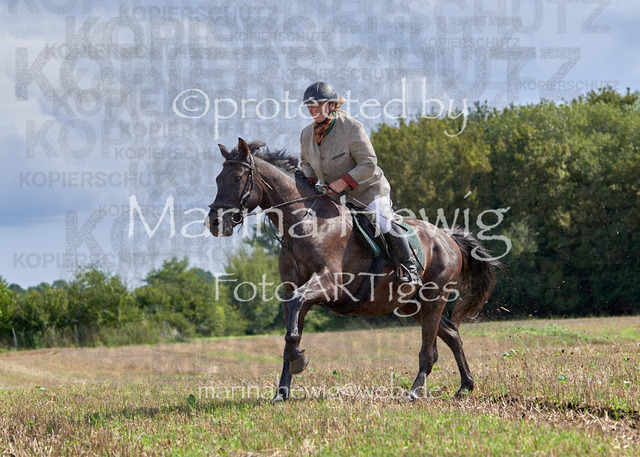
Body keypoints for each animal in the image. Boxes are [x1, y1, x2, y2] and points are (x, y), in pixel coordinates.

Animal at [206, 138, 501, 403]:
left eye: (237, 178)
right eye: (218, 179)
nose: (215, 223)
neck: (305, 223)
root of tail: (448, 238)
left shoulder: (327, 283)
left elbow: (295, 314)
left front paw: (299, 360)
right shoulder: (293, 289)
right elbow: (292, 328)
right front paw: (282, 391)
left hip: (433, 299)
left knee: (430, 351)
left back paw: (414, 393)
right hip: (412, 305)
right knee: (452, 334)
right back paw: (465, 386)